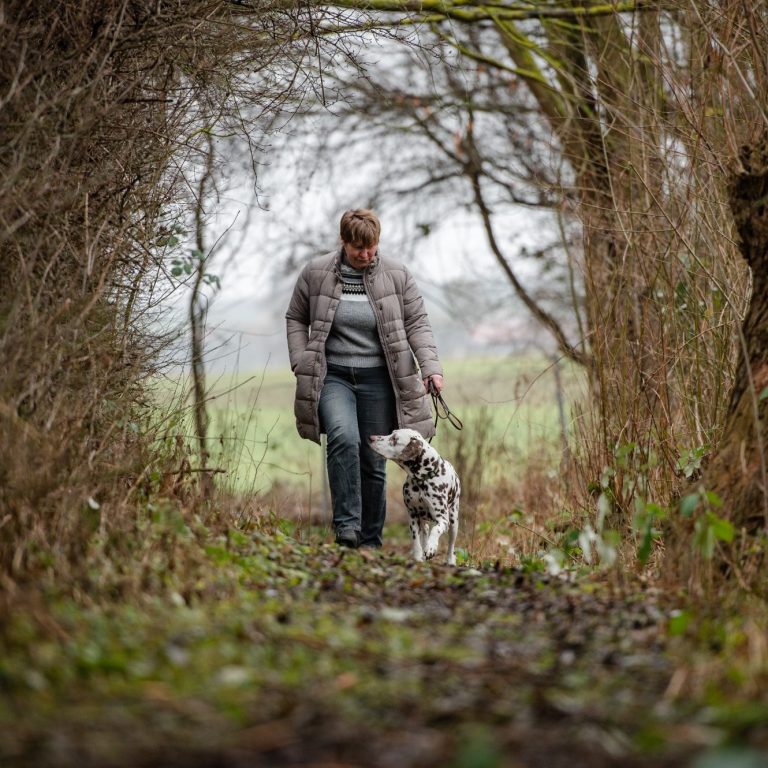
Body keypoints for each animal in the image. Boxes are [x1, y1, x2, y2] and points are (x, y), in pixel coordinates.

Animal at [368, 426, 460, 564]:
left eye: (394, 439)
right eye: (392, 433)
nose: (371, 438)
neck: (421, 480)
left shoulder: (443, 519)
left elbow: (435, 530)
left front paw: (431, 548)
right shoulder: (413, 515)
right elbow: (416, 540)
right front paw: (418, 557)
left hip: (454, 521)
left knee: (451, 545)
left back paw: (450, 561)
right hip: (423, 519)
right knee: (425, 532)